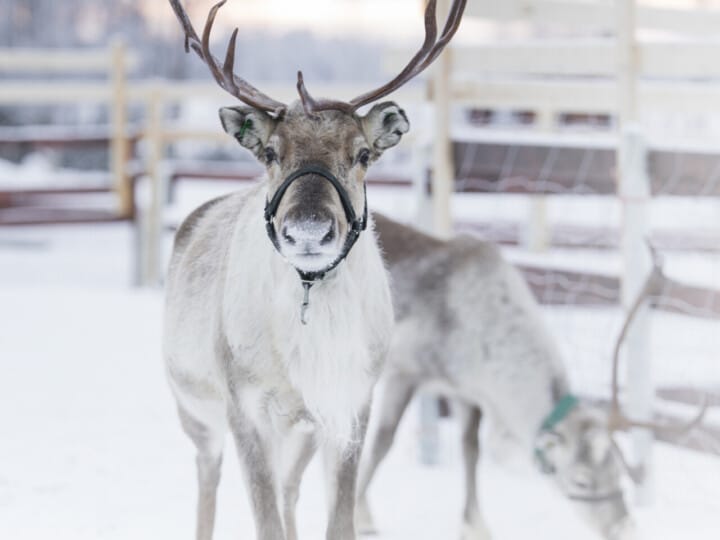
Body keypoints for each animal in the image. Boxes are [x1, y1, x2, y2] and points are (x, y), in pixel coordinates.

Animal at [162, 1, 467, 540]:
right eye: (270, 152)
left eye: (363, 153)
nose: (307, 231)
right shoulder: (245, 408)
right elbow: (265, 524)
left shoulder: (350, 403)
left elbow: (338, 520)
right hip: (195, 409)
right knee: (207, 482)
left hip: (298, 432)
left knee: (288, 489)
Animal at [356, 214, 707, 540]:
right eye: (581, 480)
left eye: (617, 474)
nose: (625, 528)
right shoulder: (405, 371)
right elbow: (382, 442)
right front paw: (363, 516)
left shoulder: (466, 392)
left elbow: (471, 451)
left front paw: (476, 526)